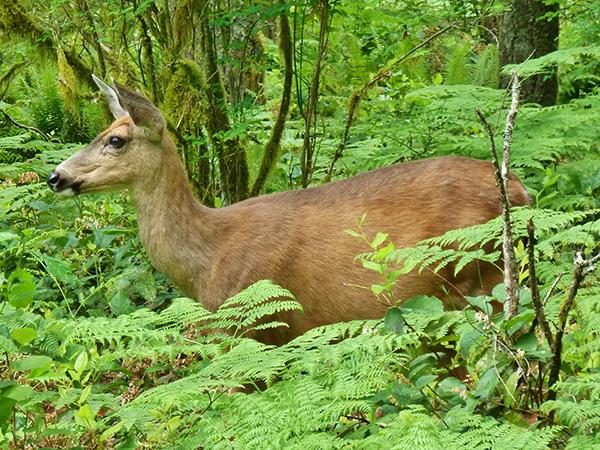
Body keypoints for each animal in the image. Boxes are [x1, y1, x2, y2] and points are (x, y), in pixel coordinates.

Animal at [50, 76, 528, 344]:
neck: (208, 258)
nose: (55, 176)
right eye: (102, 132)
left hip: (477, 283)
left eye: (116, 140)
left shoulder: (257, 325)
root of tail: (522, 193)